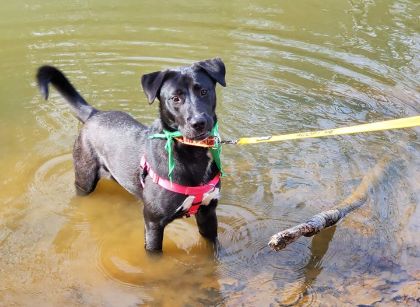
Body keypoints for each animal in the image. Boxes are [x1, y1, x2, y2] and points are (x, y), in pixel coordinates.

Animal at [36, 59, 226, 254]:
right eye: (175, 98)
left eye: (203, 91)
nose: (199, 123)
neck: (194, 153)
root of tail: (95, 113)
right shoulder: (153, 223)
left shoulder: (208, 214)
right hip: (84, 180)